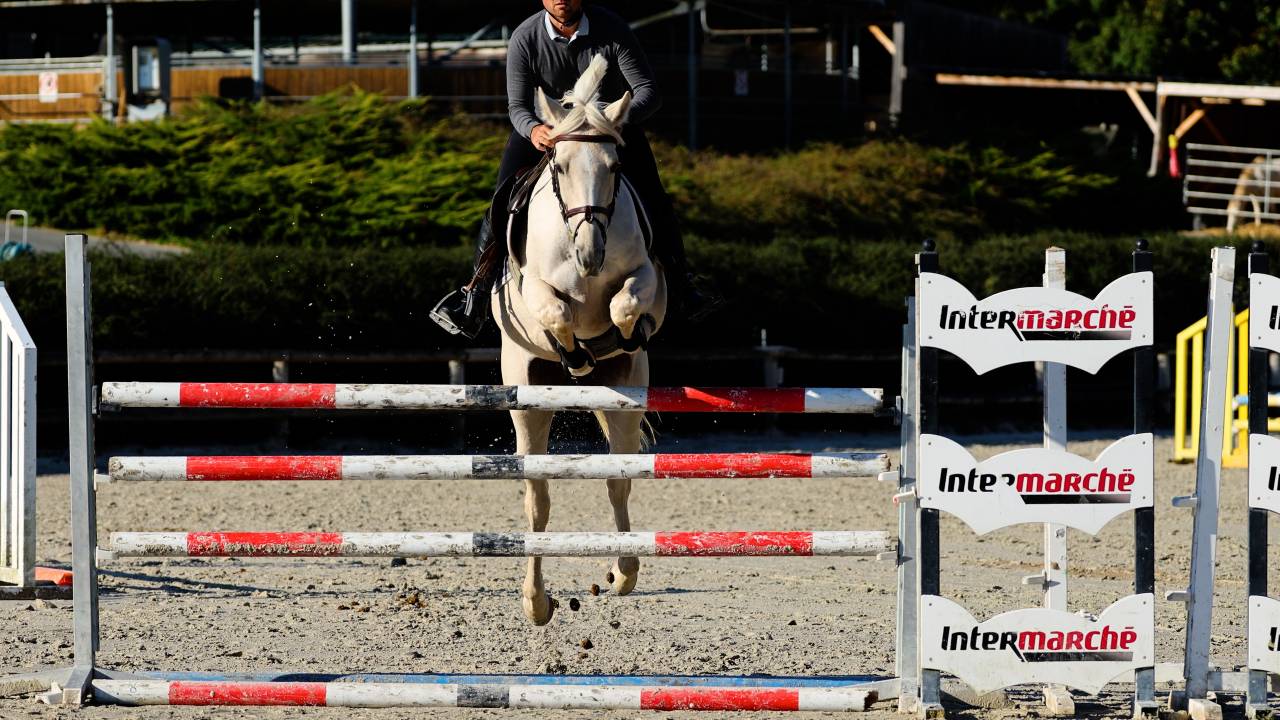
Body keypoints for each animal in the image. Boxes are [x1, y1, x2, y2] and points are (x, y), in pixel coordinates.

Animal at [492, 54, 667, 625]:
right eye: (560, 166)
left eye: (614, 168)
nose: (589, 254)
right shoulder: (533, 293)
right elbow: (557, 310)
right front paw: (574, 349)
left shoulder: (647, 277)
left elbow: (625, 303)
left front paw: (621, 331)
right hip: (526, 397)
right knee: (537, 497)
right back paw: (536, 600)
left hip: (625, 397)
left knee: (618, 479)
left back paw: (621, 573)